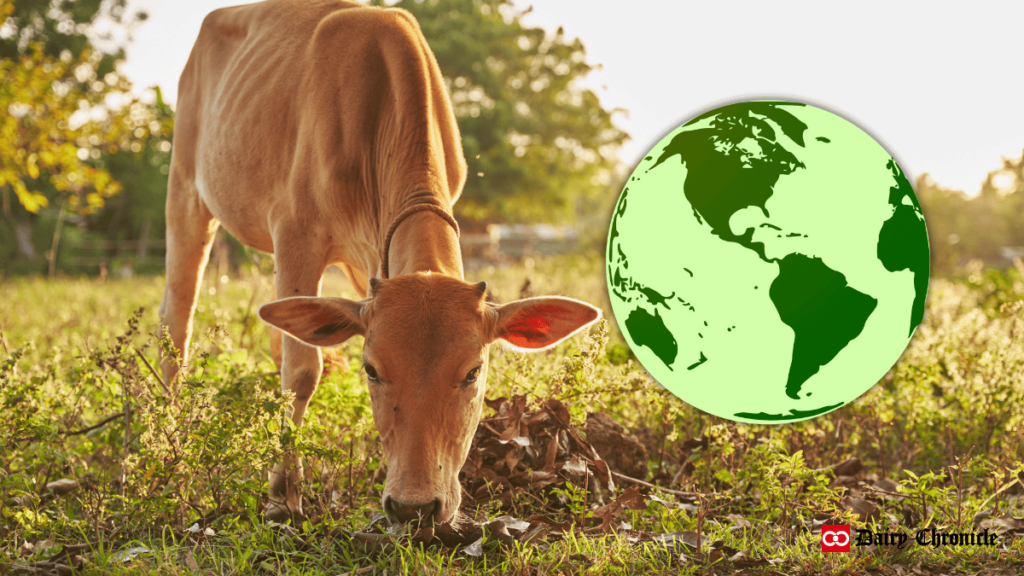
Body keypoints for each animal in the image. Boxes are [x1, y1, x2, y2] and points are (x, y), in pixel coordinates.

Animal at [159, 0, 598, 522]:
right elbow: (302, 371)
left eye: (473, 371)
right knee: (176, 324)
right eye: (371, 369)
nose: (414, 506)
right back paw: (165, 454)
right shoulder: (295, 232)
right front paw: (283, 494)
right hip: (186, 189)